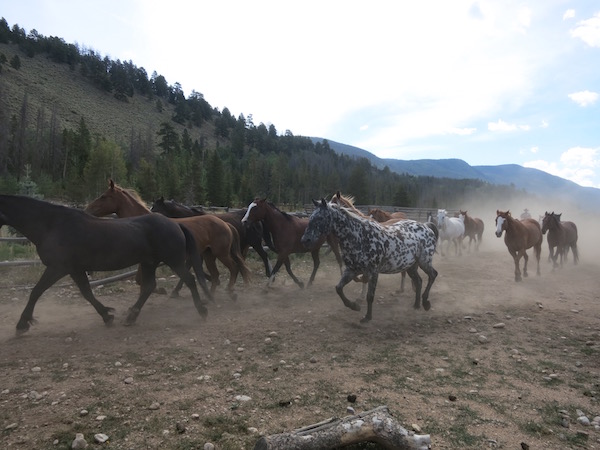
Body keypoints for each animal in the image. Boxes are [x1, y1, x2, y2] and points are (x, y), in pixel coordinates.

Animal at [0, 192, 210, 330]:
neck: (52, 225)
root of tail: (176, 224)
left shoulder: (57, 268)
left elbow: (36, 292)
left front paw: (22, 323)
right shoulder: (75, 269)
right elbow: (87, 293)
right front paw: (107, 315)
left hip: (173, 260)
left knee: (190, 280)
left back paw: (202, 310)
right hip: (149, 263)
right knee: (149, 286)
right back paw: (131, 316)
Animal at [85, 179, 251, 298]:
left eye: (104, 196)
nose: (88, 209)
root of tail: (226, 224)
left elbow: (141, 281)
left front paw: (161, 291)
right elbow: (140, 280)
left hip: (220, 253)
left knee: (234, 268)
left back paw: (229, 291)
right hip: (209, 255)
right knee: (217, 275)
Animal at [300, 199, 436, 322]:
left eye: (320, 218)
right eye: (311, 217)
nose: (305, 240)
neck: (360, 237)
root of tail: (427, 227)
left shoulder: (373, 272)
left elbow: (370, 296)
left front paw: (367, 317)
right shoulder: (352, 270)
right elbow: (339, 288)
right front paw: (354, 306)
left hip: (424, 262)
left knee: (433, 275)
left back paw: (426, 303)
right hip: (410, 266)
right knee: (419, 281)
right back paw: (417, 305)